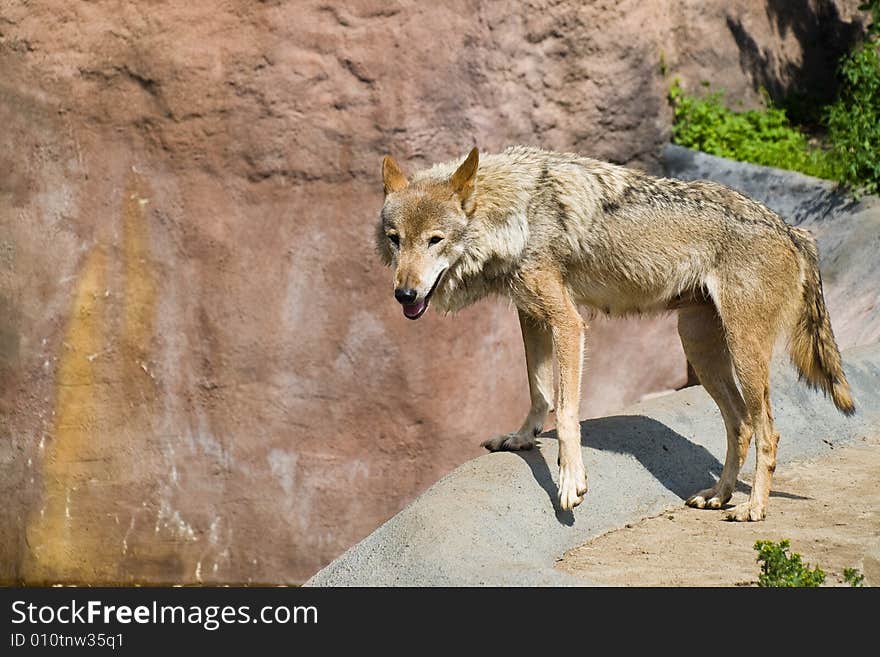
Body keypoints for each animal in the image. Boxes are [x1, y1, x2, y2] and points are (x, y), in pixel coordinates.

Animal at [376, 146, 852, 520]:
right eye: (396, 239)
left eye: (435, 240)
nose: (404, 294)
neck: (517, 213)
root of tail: (793, 229)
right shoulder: (531, 315)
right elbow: (538, 392)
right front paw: (521, 438)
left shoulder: (567, 322)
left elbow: (567, 413)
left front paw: (570, 480)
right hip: (700, 349)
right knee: (741, 425)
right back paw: (719, 496)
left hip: (743, 353)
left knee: (768, 431)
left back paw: (753, 509)